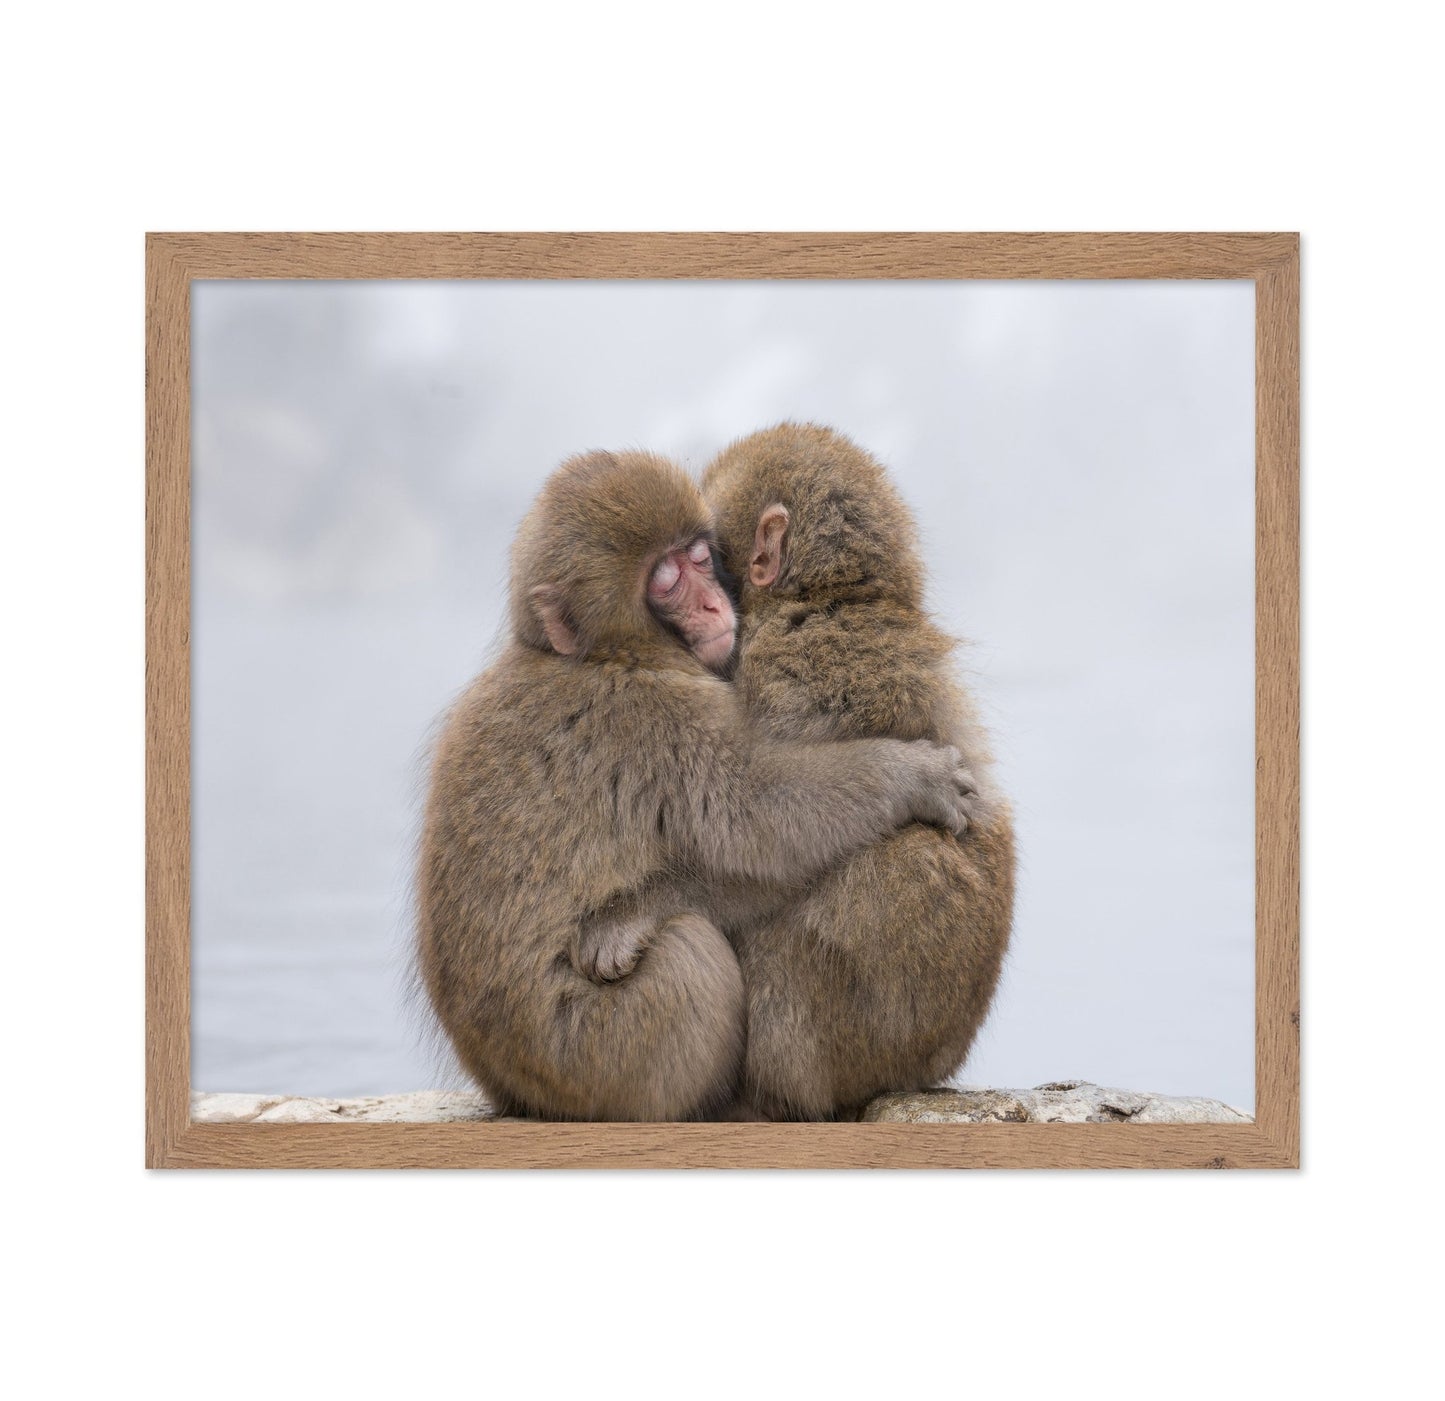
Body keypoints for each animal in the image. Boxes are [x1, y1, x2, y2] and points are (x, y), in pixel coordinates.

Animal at [415, 448, 980, 1122]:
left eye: (699, 557)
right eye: (666, 581)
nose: (713, 604)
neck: (597, 654)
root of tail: (517, 1093)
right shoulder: (651, 713)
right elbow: (761, 821)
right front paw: (915, 777)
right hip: (607, 1057)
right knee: (691, 947)